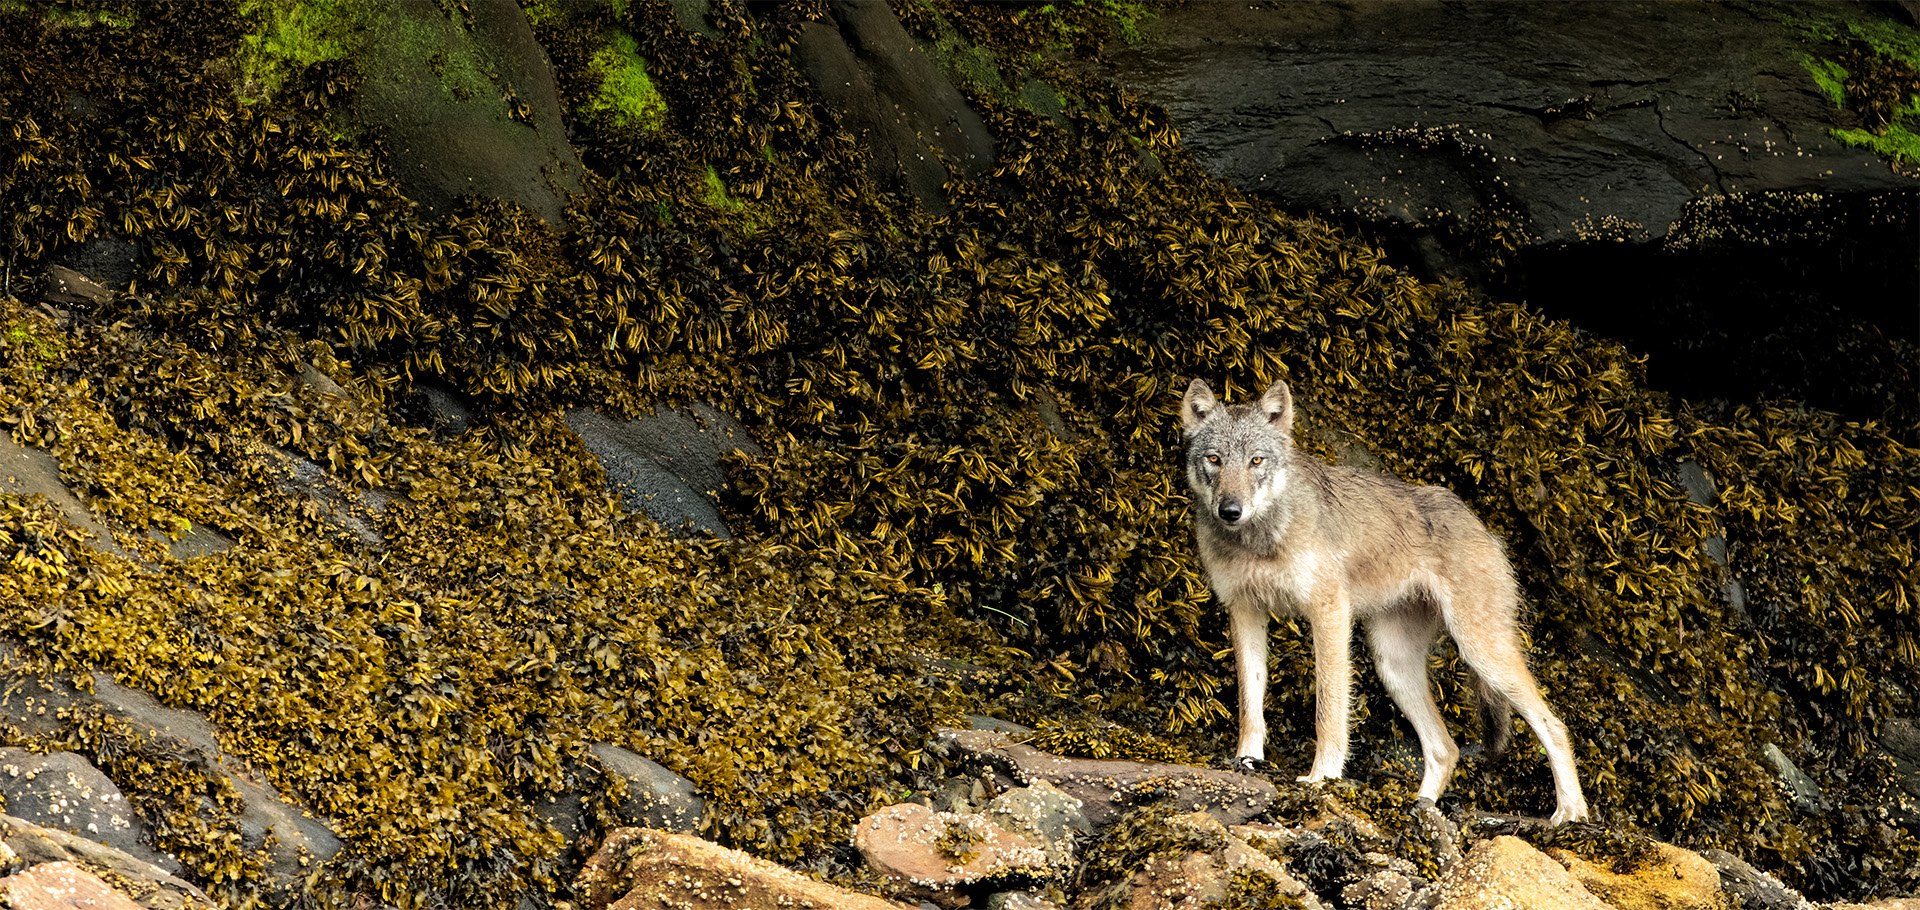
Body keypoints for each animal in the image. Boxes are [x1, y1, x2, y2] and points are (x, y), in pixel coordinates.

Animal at [1181, 377, 1589, 824]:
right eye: (1215, 459)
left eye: (1256, 461)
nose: (1230, 510)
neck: (1257, 540)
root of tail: (1481, 525)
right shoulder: (1245, 611)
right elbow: (1249, 701)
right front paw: (1247, 762)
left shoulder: (1329, 613)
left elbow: (1328, 710)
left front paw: (1322, 777)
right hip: (1392, 665)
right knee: (1446, 748)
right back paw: (1420, 810)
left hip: (1480, 652)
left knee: (1554, 725)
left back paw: (1571, 813)